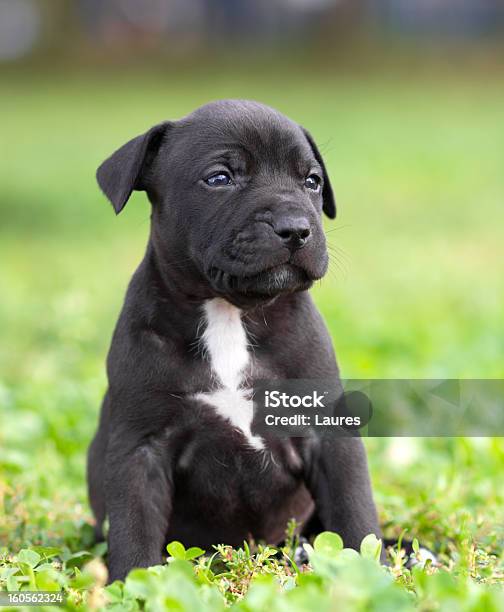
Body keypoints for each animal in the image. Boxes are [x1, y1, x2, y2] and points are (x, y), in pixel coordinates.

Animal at [88, 98, 380, 580]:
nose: (295, 227)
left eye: (312, 181)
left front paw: (373, 576)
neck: (230, 312)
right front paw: (133, 585)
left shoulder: (329, 433)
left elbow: (356, 514)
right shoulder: (139, 448)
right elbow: (134, 527)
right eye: (220, 178)